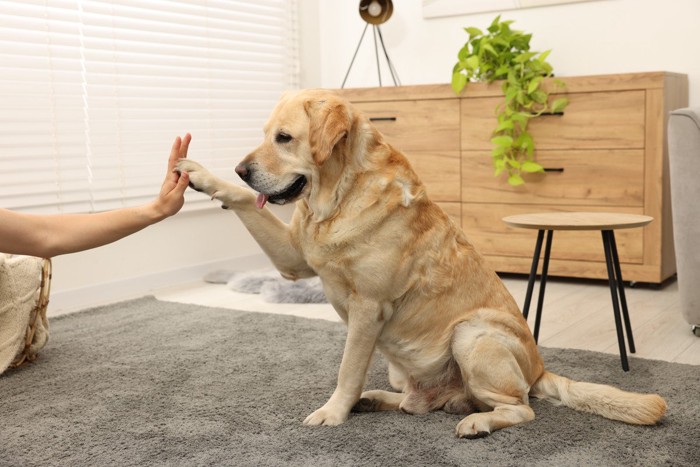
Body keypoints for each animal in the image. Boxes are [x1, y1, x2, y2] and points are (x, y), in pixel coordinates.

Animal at [176, 88, 668, 438]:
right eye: (265, 134)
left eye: (284, 138)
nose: (241, 169)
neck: (337, 199)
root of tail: (540, 368)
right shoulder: (294, 260)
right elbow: (246, 203)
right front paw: (199, 174)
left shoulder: (368, 307)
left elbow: (347, 368)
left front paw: (333, 412)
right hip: (408, 372)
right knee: (419, 404)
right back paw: (378, 400)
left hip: (473, 335)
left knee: (519, 408)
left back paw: (476, 422)